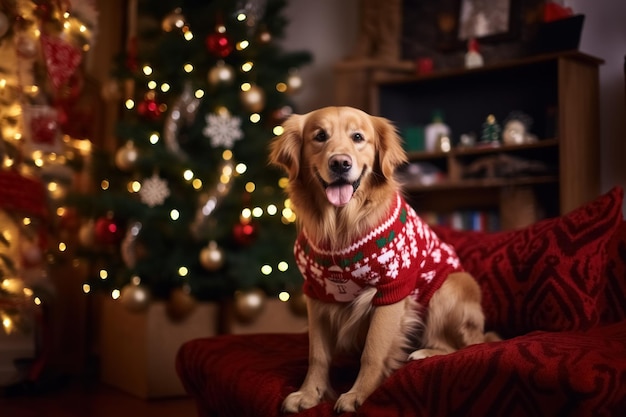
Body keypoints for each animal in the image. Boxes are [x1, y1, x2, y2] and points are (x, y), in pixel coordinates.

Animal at [268, 105, 498, 412]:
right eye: (319, 136)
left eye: (357, 137)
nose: (340, 163)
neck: (341, 225)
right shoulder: (317, 293)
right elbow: (317, 354)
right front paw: (309, 393)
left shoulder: (392, 290)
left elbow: (373, 351)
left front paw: (358, 394)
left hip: (450, 286)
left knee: (468, 345)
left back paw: (425, 353)